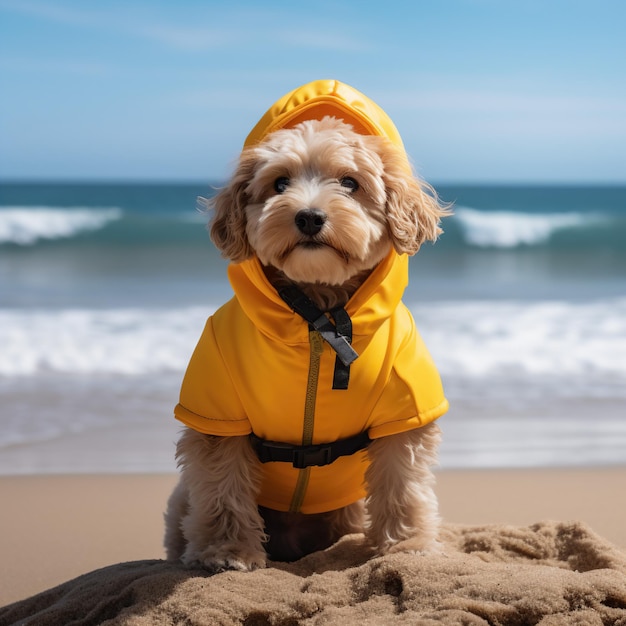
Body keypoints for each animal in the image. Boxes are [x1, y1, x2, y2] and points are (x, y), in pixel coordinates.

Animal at [165, 103, 448, 572]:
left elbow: (402, 484)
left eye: (350, 183)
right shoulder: (219, 412)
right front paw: (227, 551)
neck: (318, 316)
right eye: (280, 183)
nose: (309, 216)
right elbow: (224, 485)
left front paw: (408, 546)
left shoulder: (405, 410)